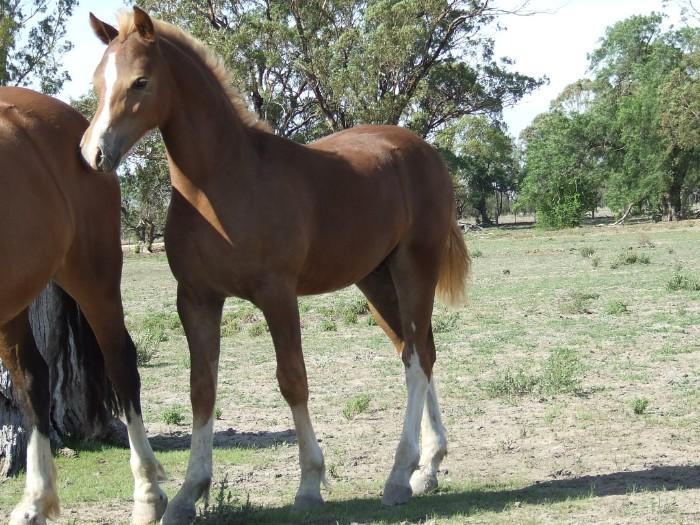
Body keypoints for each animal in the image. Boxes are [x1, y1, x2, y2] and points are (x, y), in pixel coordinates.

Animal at [83, 8, 470, 523]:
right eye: (97, 81)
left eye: (140, 81)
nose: (94, 154)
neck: (220, 183)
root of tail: (424, 150)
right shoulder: (197, 298)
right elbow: (201, 388)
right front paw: (188, 494)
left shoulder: (277, 294)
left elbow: (293, 380)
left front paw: (309, 484)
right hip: (376, 280)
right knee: (421, 352)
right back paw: (427, 467)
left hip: (414, 269)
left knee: (414, 360)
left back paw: (398, 475)